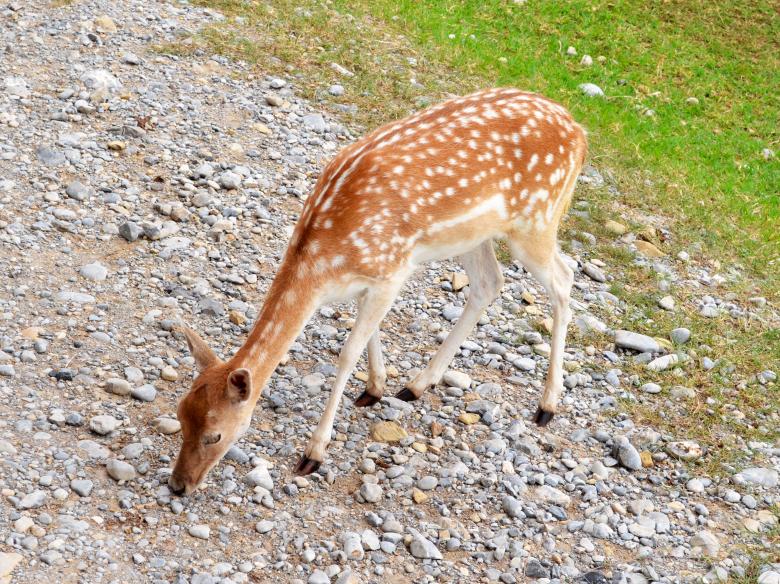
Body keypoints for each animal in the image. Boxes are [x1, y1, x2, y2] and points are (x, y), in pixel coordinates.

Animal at [167, 88, 587, 495]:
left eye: (215, 434)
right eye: (179, 414)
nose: (178, 484)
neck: (324, 261)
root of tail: (580, 133)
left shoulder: (392, 269)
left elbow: (348, 352)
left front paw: (314, 453)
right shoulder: (368, 280)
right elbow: (369, 332)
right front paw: (376, 387)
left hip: (537, 219)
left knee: (564, 279)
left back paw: (547, 405)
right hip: (472, 234)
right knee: (490, 282)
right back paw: (417, 385)